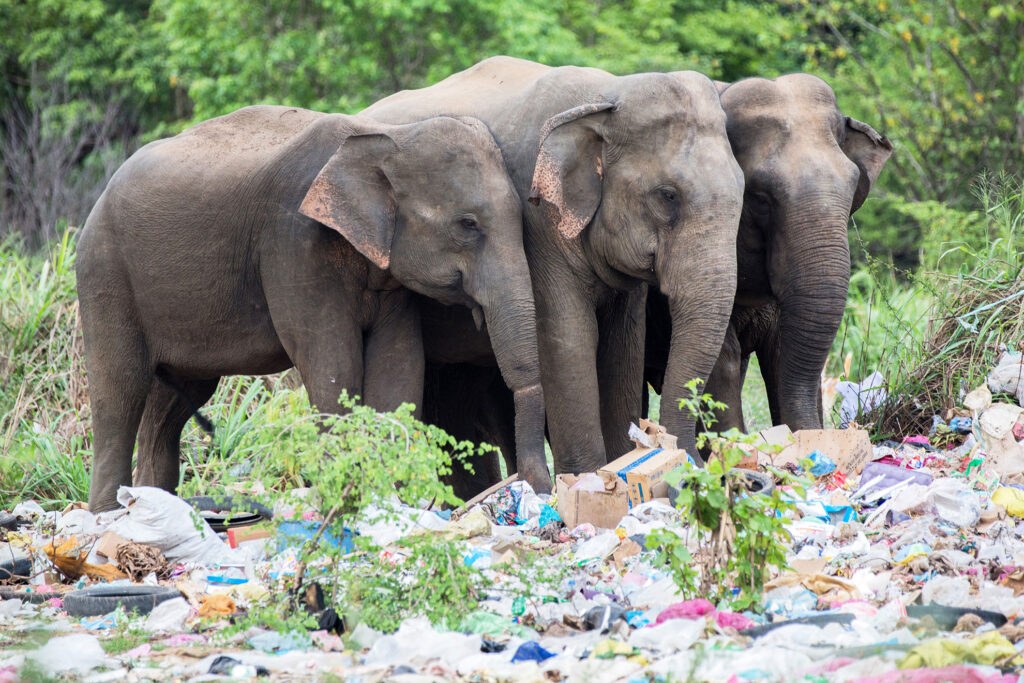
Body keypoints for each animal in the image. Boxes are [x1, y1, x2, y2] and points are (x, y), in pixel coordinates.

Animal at [75, 105, 548, 511]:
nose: (535, 491)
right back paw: (108, 515)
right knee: (120, 388)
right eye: (467, 225)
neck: (388, 137)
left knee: (176, 398)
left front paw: (387, 505)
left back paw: (149, 506)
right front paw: (350, 506)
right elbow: (332, 364)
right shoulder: (294, 244)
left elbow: (398, 369)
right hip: (104, 273)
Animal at [366, 56, 745, 475]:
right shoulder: (537, 225)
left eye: (745, 190)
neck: (606, 95)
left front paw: (624, 461)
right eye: (668, 196)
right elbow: (567, 338)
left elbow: (623, 345)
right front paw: (586, 476)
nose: (691, 459)